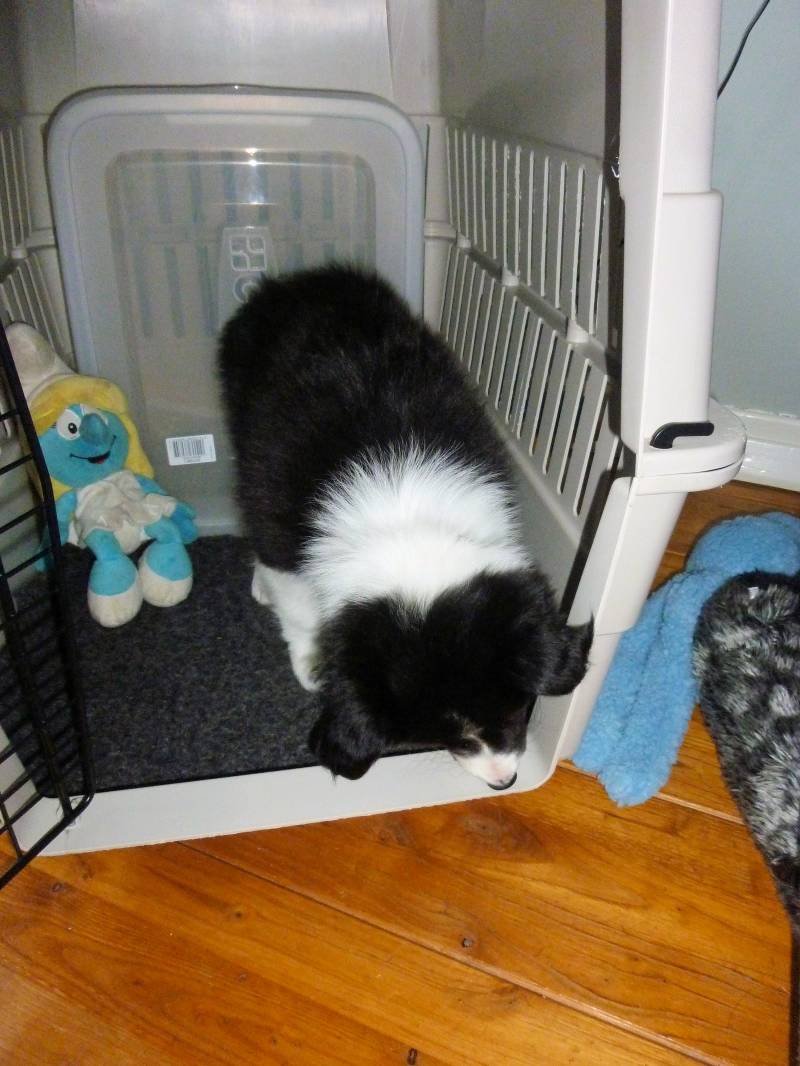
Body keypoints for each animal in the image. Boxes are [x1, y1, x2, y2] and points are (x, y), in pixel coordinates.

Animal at [218, 265, 591, 788]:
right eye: (444, 737)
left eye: (517, 710)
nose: (505, 781)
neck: (403, 518)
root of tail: (288, 283)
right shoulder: (280, 528)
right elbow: (295, 597)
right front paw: (311, 661)